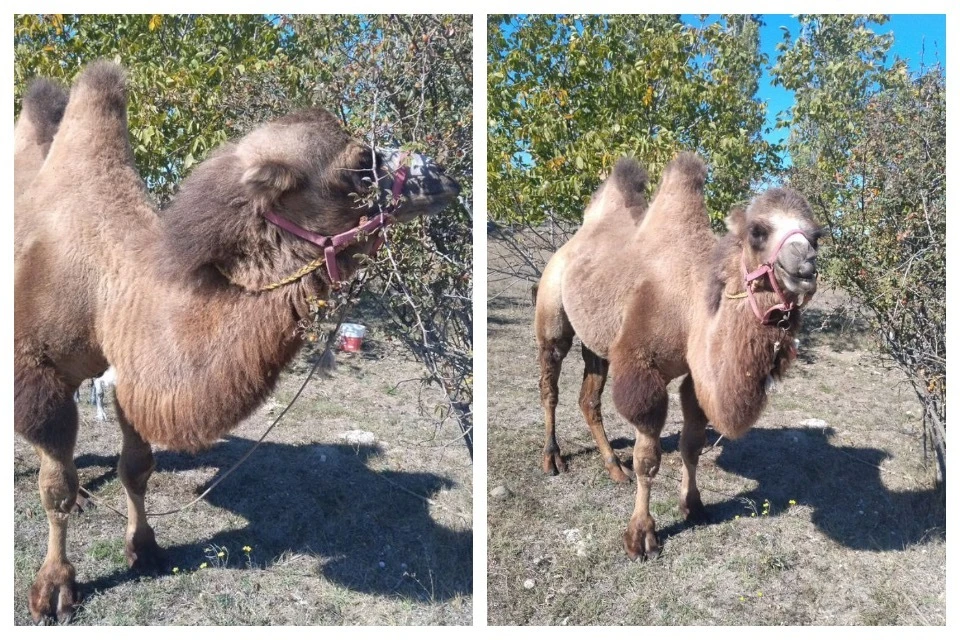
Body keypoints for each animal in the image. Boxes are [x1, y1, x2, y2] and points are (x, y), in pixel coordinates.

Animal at [12, 62, 462, 624]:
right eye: (360, 163)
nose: (447, 177)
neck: (107, 283)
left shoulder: (132, 369)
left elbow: (135, 468)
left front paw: (146, 550)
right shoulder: (39, 370)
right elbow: (55, 489)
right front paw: (54, 588)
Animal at [532, 154, 816, 560]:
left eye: (817, 235)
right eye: (758, 231)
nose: (806, 265)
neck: (691, 301)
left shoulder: (695, 376)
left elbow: (691, 445)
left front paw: (693, 506)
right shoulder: (642, 368)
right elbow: (648, 460)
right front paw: (641, 536)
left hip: (598, 339)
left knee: (589, 398)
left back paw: (612, 467)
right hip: (552, 313)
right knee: (550, 386)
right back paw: (552, 458)